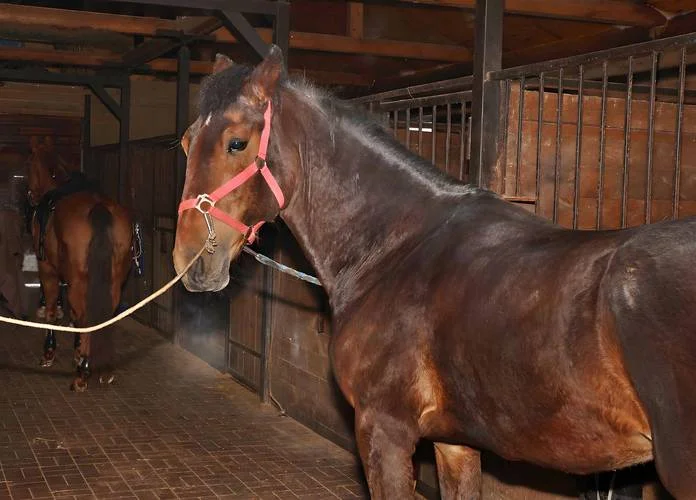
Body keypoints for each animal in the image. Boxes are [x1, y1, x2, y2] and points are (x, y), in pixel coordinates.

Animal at [26, 136, 133, 391]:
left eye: (29, 162)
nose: (30, 196)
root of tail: (98, 208)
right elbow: (74, 317)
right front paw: (76, 350)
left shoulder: (48, 270)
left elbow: (53, 311)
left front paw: (49, 353)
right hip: (112, 281)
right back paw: (102, 368)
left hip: (75, 279)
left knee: (85, 315)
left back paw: (83, 371)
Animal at [172, 47, 696, 499]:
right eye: (185, 141)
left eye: (236, 143)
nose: (190, 260)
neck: (394, 249)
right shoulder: (455, 443)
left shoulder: (384, 430)